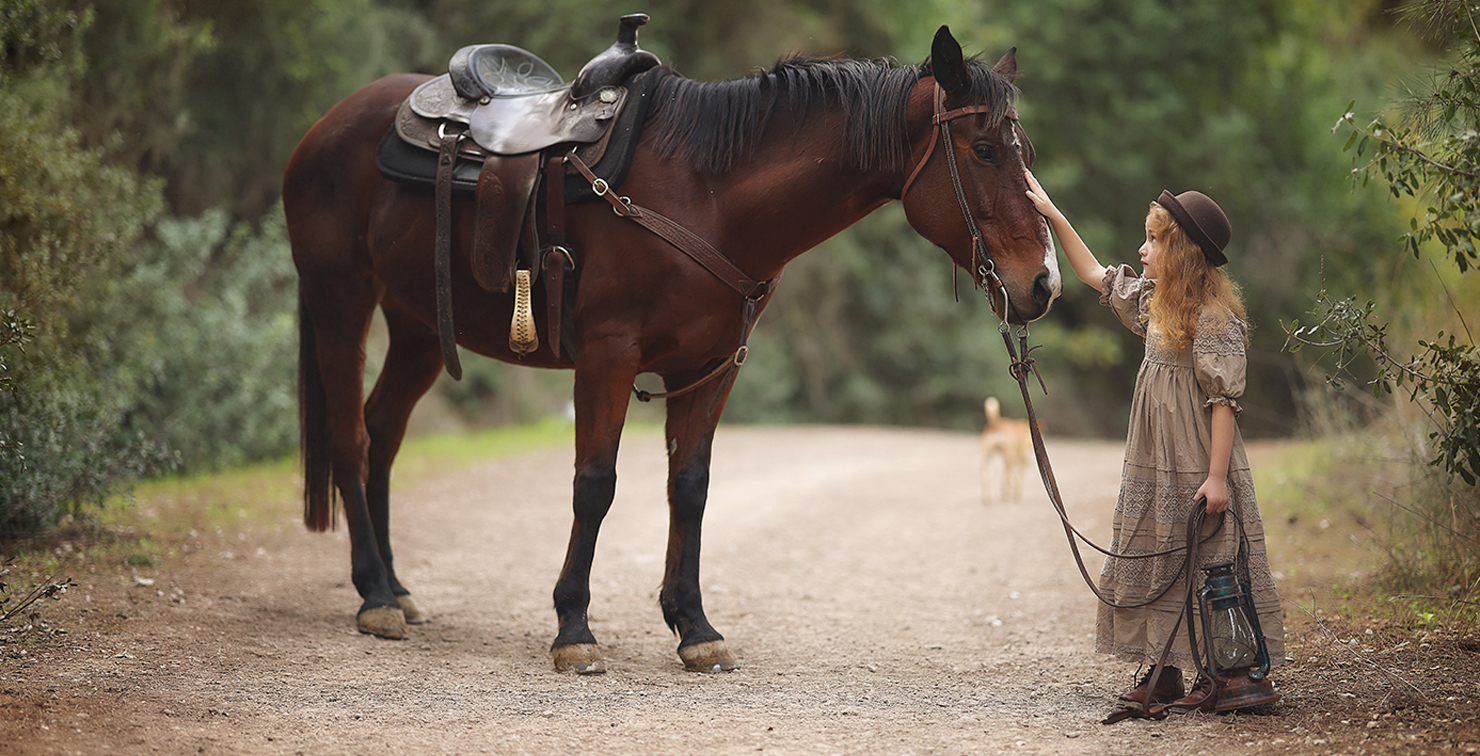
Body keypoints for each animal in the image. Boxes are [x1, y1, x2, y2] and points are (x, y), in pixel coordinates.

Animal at [282, 26, 1059, 674]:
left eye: (1026, 152)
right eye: (985, 150)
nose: (1043, 282)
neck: (706, 194)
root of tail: (324, 128)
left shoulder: (707, 370)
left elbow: (690, 488)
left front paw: (694, 628)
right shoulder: (607, 356)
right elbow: (595, 484)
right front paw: (574, 630)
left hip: (416, 324)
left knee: (382, 431)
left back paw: (396, 587)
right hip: (340, 301)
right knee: (352, 436)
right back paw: (374, 596)